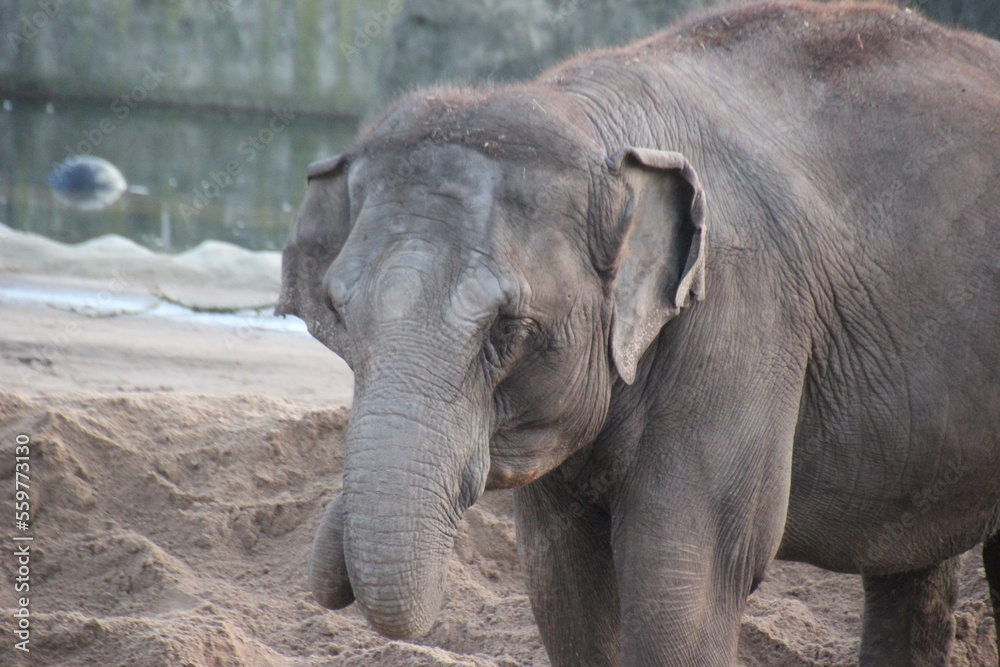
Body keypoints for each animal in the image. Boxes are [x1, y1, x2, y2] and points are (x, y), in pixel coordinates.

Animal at [276, 2, 1000, 664]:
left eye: (510, 327)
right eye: (339, 316)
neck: (598, 122)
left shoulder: (741, 317)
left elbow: (682, 583)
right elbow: (565, 587)